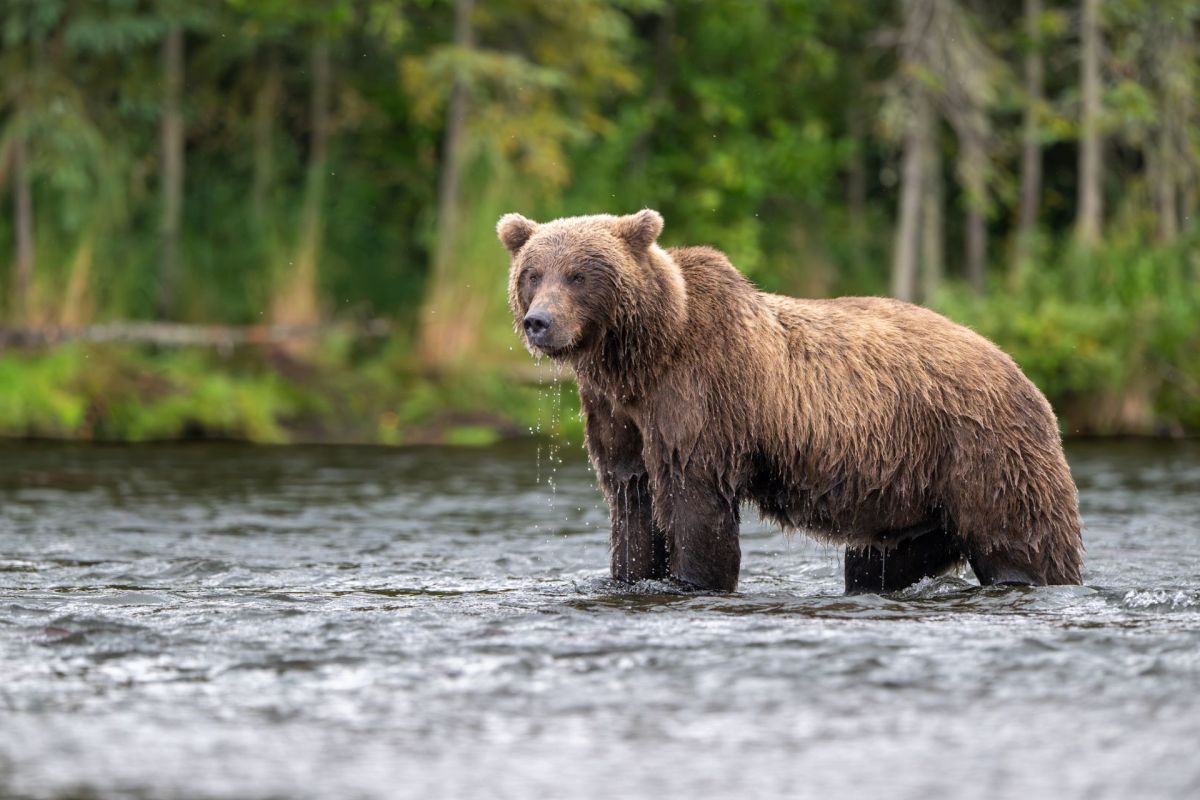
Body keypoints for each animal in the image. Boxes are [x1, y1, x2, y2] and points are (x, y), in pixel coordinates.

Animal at [498, 209, 1084, 593]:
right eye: (532, 273)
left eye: (578, 274)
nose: (539, 322)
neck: (643, 356)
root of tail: (1022, 373)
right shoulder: (617, 412)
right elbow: (632, 500)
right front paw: (630, 575)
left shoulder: (701, 397)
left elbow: (694, 502)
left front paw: (695, 580)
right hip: (913, 497)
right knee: (879, 563)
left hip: (983, 454)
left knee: (1023, 542)